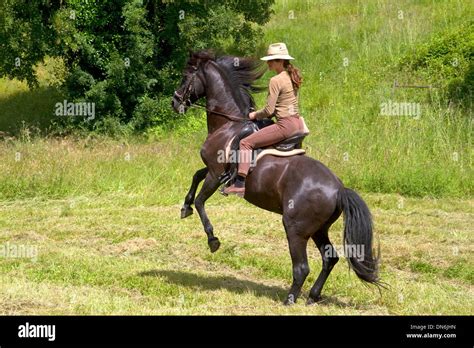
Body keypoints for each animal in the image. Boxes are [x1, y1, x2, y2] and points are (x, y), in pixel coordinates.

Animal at [171, 50, 382, 304]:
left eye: (185, 76)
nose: (174, 102)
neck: (228, 124)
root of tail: (339, 189)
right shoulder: (215, 171)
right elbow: (195, 177)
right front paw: (185, 207)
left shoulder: (215, 173)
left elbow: (202, 201)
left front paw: (213, 240)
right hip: (319, 229)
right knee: (329, 258)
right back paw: (313, 296)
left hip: (295, 228)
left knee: (302, 267)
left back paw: (290, 299)